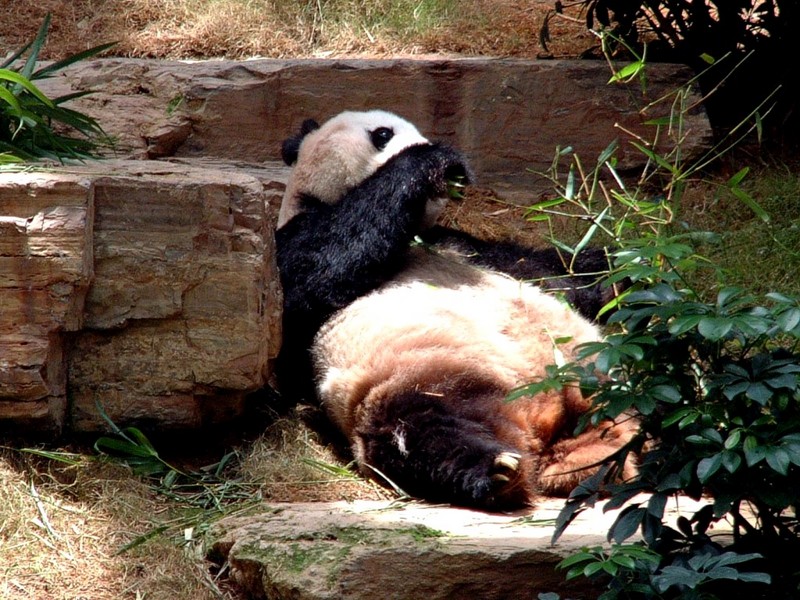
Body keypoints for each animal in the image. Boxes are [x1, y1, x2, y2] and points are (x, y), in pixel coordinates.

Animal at [276, 109, 636, 510]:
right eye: (382, 133)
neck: (410, 232)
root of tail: (545, 421)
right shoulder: (298, 237)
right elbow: (317, 269)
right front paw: (434, 159)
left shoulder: (460, 244)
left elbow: (551, 272)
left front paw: (629, 270)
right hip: (415, 377)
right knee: (425, 429)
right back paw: (495, 469)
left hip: (599, 375)